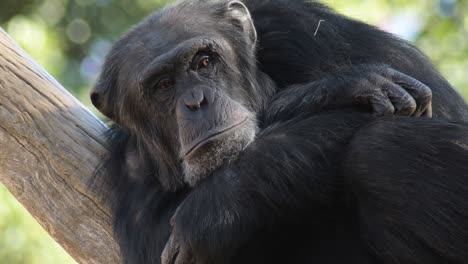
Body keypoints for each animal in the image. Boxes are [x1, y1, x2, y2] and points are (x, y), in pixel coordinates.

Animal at [90, 0, 468, 264]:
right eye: (163, 85)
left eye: (204, 62)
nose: (196, 101)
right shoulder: (131, 177)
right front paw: (349, 86)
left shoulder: (310, 29)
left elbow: (447, 117)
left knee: (379, 149)